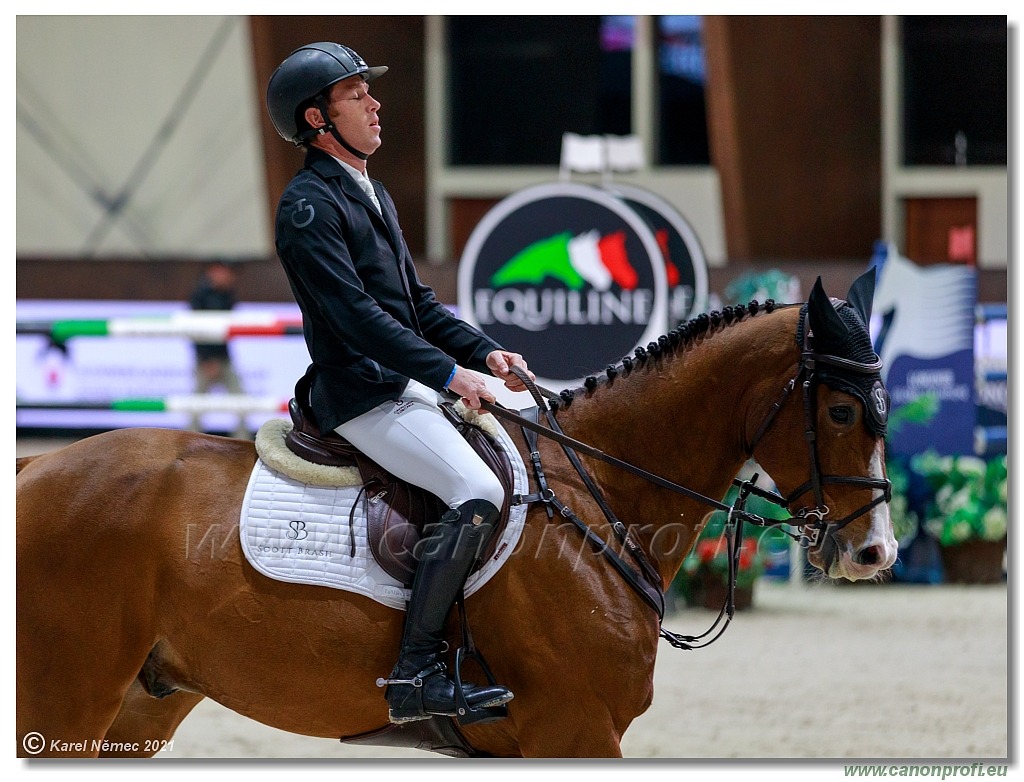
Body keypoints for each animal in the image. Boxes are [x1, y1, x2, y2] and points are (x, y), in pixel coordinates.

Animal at [16, 274, 897, 757]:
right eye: (844, 411)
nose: (875, 554)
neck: (600, 492)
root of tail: (36, 467)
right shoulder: (576, 729)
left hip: (139, 706)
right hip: (64, 699)